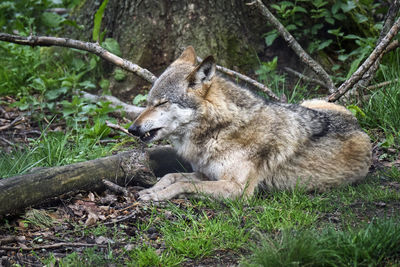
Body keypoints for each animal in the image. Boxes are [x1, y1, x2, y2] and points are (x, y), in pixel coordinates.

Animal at [128, 46, 372, 201]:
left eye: (162, 103)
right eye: (148, 102)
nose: (132, 129)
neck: (220, 129)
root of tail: (358, 125)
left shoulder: (237, 189)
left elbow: (184, 184)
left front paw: (156, 194)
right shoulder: (207, 174)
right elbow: (171, 176)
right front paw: (154, 188)